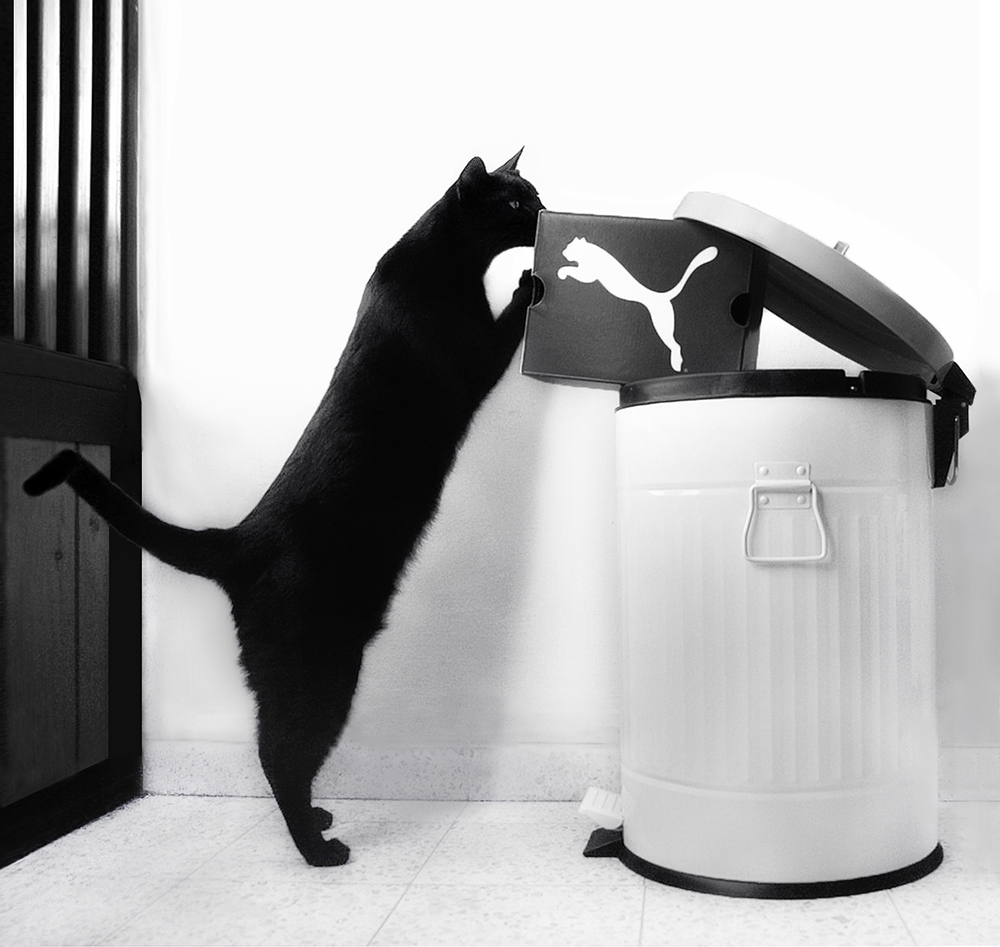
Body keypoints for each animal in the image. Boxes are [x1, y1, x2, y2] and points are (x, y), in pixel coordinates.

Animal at [24, 150, 544, 867]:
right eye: (516, 204)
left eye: (535, 194)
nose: (545, 211)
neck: (443, 260)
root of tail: (237, 538)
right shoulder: (472, 361)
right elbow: (503, 331)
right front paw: (528, 285)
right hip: (319, 670)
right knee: (280, 755)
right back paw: (317, 848)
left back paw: (317, 823)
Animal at [557, 236, 718, 371]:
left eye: (569, 247)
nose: (563, 251)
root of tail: (662, 296)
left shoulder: (588, 275)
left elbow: (572, 270)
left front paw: (562, 272)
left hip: (662, 326)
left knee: (676, 345)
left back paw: (676, 365)